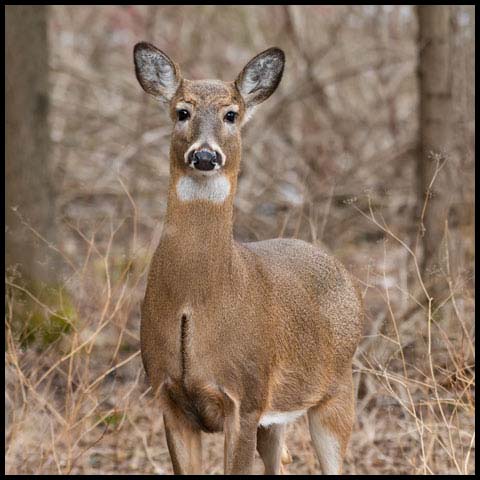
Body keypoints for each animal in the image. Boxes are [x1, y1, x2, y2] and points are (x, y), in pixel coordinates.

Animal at [133, 42, 362, 476]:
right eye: (182, 111)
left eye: (231, 114)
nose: (205, 155)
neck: (195, 303)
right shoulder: (167, 397)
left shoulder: (246, 397)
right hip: (278, 417)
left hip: (337, 387)